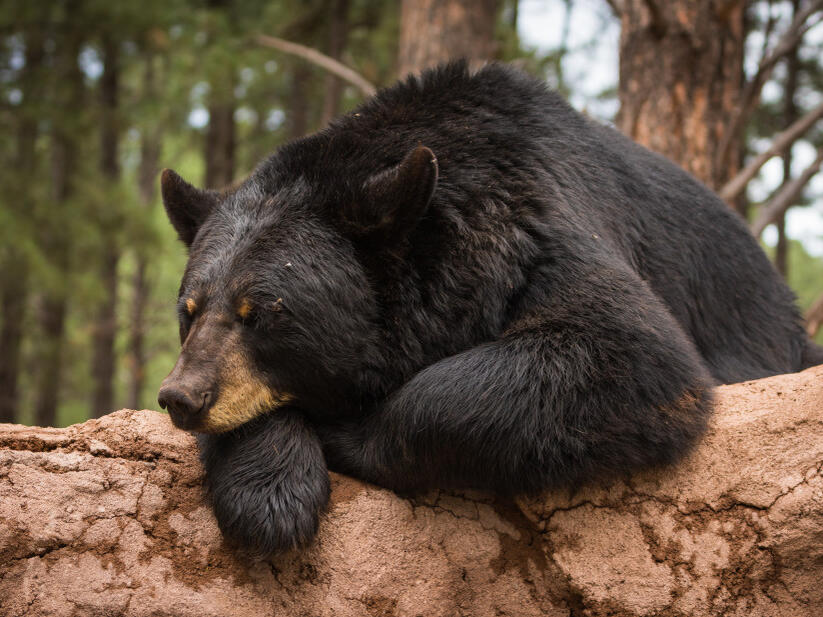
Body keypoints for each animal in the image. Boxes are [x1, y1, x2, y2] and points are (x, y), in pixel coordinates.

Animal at [157, 61, 823, 556]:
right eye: (189, 309)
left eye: (262, 312)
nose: (180, 397)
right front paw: (269, 493)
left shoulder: (538, 220)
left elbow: (630, 349)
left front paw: (346, 432)